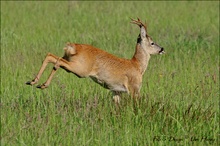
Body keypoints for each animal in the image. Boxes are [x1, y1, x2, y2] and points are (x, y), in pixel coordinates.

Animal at [25, 18, 165, 104]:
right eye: (152, 42)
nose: (162, 49)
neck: (137, 65)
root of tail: (73, 47)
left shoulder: (116, 91)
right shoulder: (134, 89)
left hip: (70, 61)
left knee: (51, 56)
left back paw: (33, 82)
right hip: (80, 70)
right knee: (56, 60)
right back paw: (42, 84)